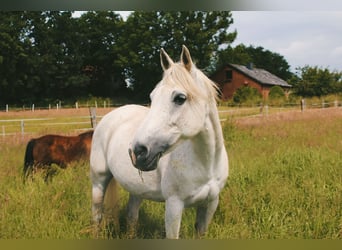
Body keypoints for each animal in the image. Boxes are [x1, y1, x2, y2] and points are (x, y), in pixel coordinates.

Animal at [91, 45, 228, 238]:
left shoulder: (210, 204)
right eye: (152, 97)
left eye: (180, 98)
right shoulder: (174, 205)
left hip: (136, 189)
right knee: (96, 215)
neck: (206, 164)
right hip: (98, 181)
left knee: (131, 216)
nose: (137, 151)